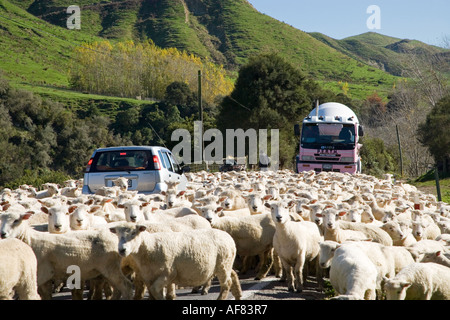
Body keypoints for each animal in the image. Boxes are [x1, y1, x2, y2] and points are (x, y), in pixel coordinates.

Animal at [0, 210, 134, 300]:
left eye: (16, 220)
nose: (3, 234)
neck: (30, 239)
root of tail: (114, 237)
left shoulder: (42, 273)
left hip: (110, 267)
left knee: (126, 286)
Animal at [109, 222, 243, 300]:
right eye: (117, 235)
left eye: (133, 233)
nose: (122, 250)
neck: (150, 246)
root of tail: (228, 236)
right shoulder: (149, 277)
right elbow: (152, 293)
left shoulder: (168, 274)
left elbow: (155, 291)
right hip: (225, 265)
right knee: (233, 275)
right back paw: (238, 295)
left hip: (223, 265)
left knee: (226, 284)